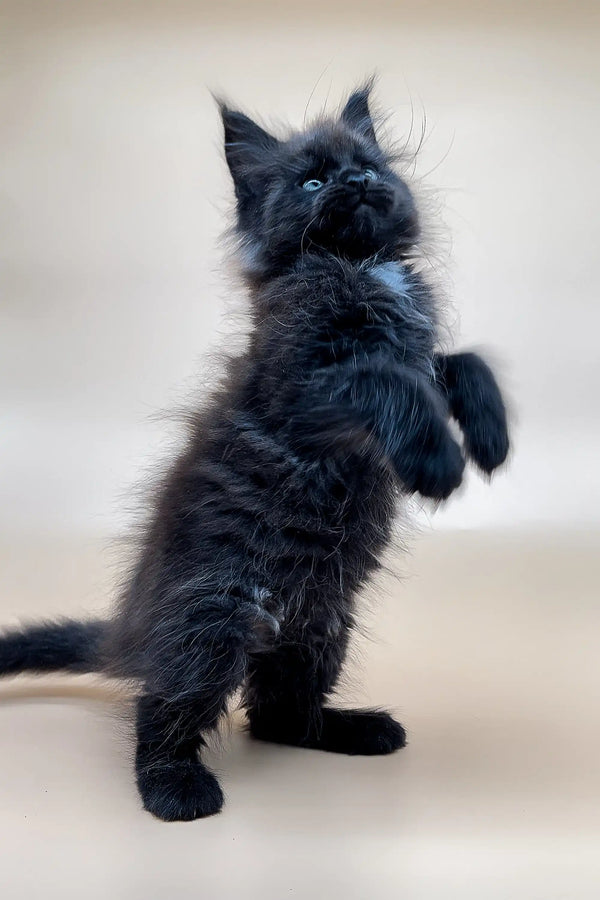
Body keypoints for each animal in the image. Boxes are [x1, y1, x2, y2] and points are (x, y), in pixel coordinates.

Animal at [0, 86, 508, 824]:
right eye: (313, 182)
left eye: (366, 167)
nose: (355, 182)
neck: (362, 269)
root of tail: (134, 632)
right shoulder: (305, 388)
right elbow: (386, 381)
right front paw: (438, 463)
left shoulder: (419, 353)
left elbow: (463, 361)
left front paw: (491, 434)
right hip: (211, 623)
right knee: (164, 710)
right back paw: (175, 789)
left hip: (323, 628)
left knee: (277, 718)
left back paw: (353, 729)